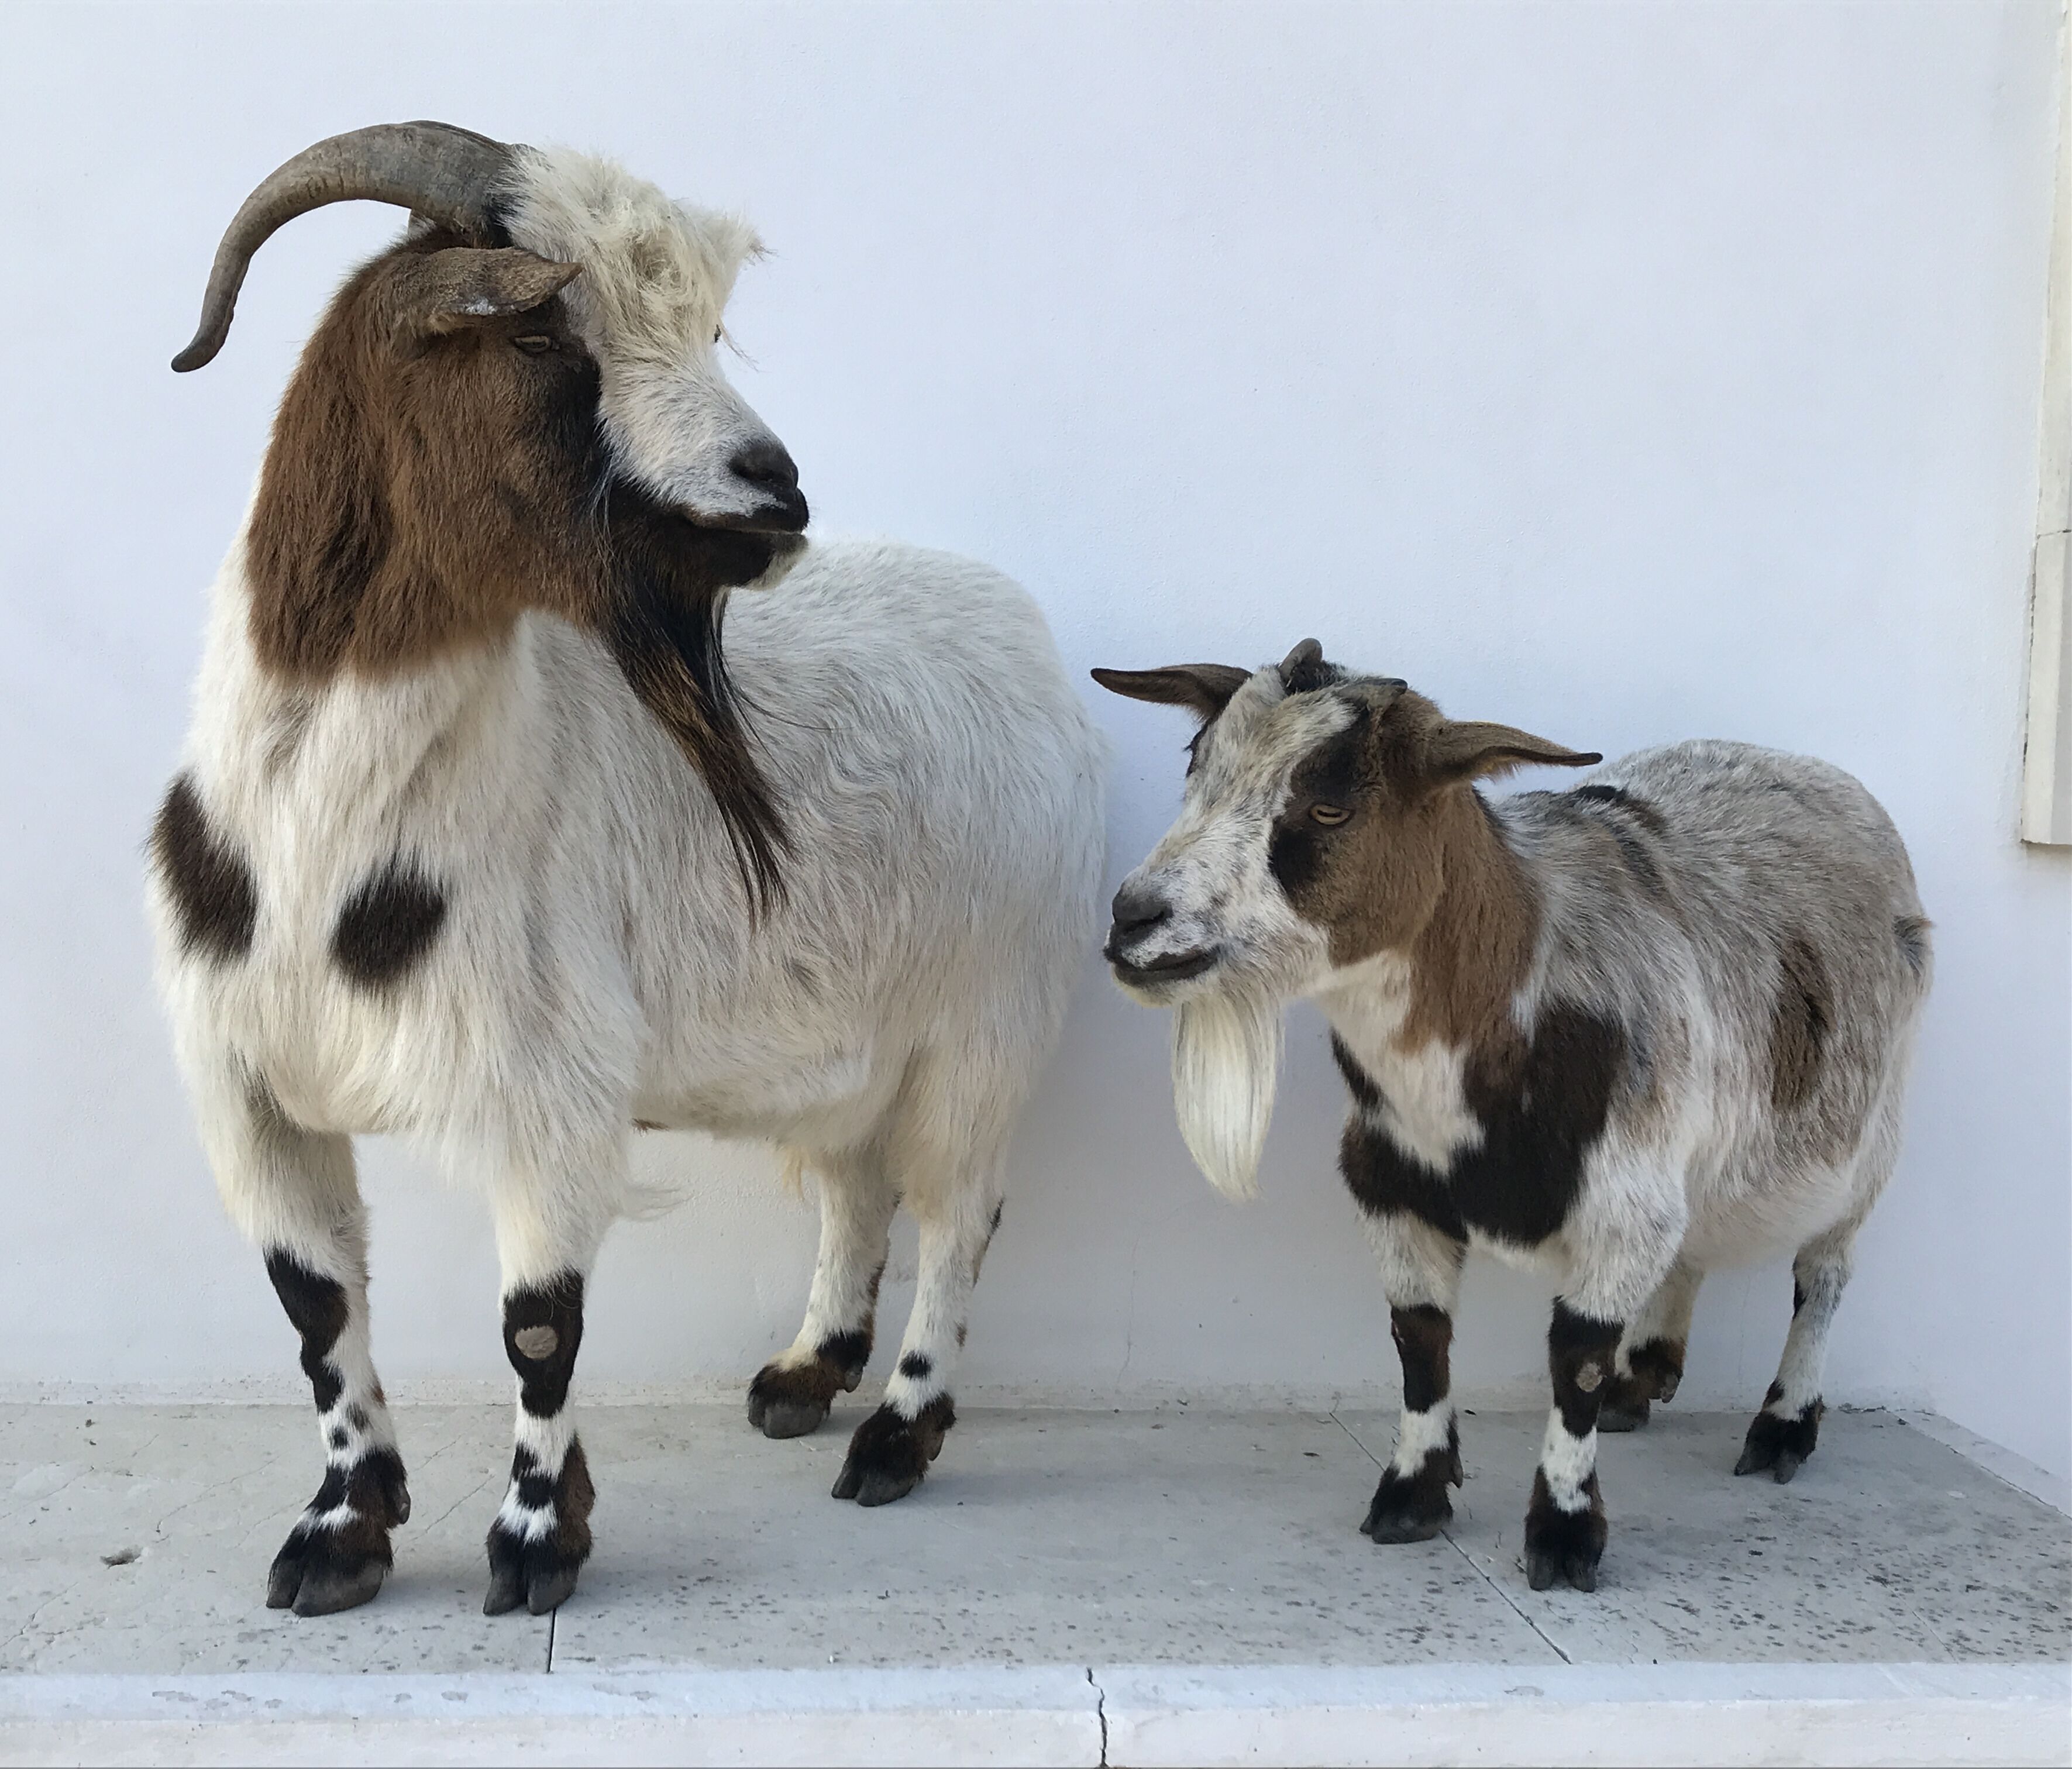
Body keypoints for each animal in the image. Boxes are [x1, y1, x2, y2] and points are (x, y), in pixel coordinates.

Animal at [150, 123, 1104, 1618]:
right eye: (544, 330)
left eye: (704, 326)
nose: (777, 493)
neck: (317, 847)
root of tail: (1035, 644)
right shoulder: (247, 1091)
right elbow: (317, 1313)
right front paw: (340, 1532)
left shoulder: (551, 1088)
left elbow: (540, 1326)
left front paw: (536, 1544)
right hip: (861, 1031)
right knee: (859, 1183)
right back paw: (803, 1376)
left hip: (991, 1015)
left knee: (960, 1208)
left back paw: (895, 1436)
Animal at [1096, 639, 1929, 1592]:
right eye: (1196, 769)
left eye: (1329, 804)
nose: (1134, 919)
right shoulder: (1393, 1186)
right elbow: (1418, 1342)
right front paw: (1412, 1495)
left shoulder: (1620, 1201)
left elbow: (1576, 1362)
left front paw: (1564, 1536)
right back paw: (1647, 1378)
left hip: (1869, 1141)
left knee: (1823, 1275)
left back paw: (1782, 1426)